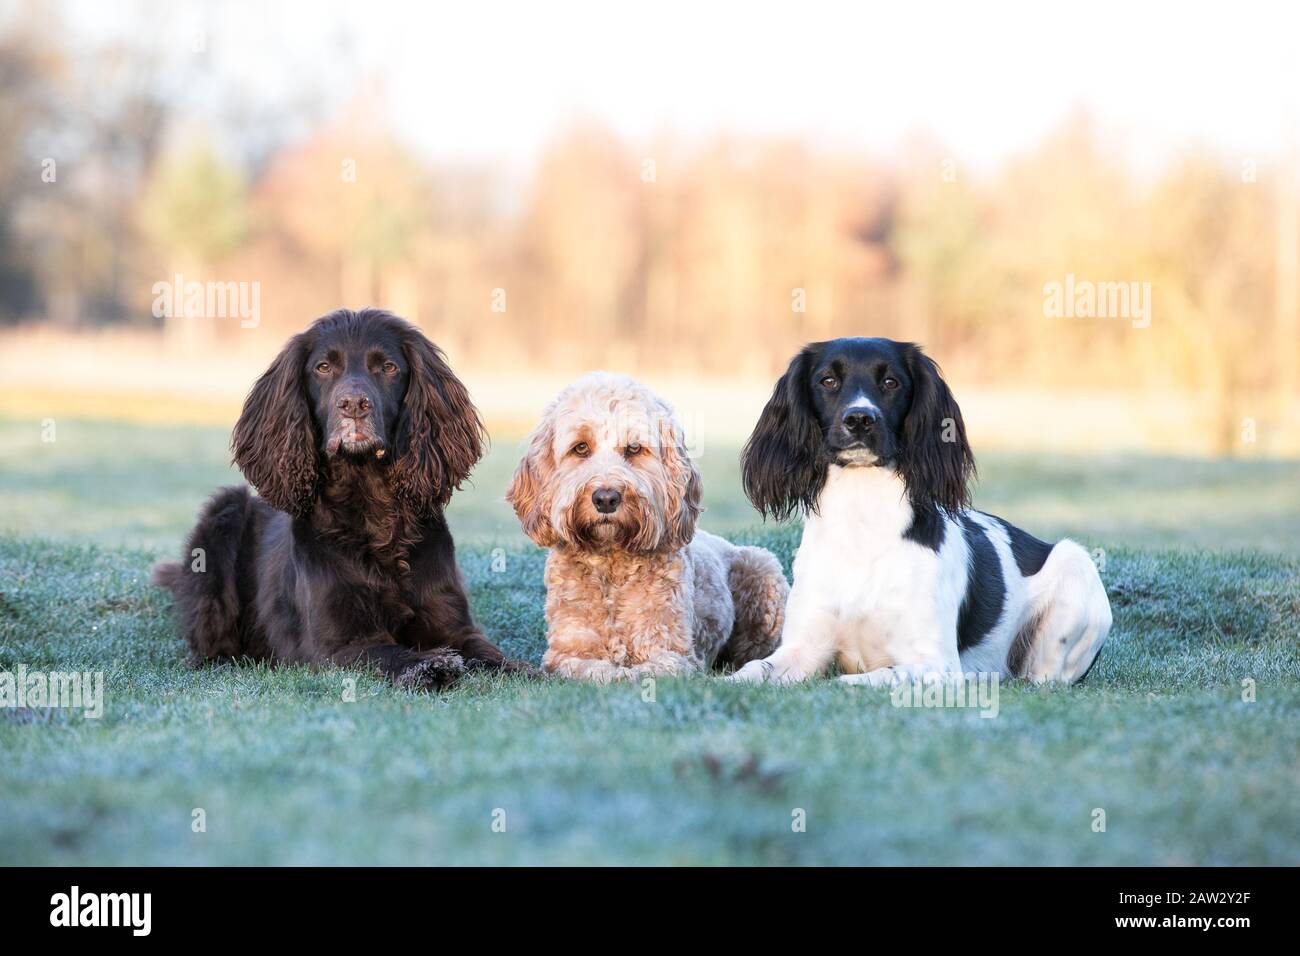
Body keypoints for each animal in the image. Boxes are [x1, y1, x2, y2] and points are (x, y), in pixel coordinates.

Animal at [733, 335, 1107, 686]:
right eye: (827, 380)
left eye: (890, 382)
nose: (859, 419)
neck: (862, 519)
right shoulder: (802, 650)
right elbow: (753, 669)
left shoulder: (934, 663)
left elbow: (877, 676)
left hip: (1074, 570)